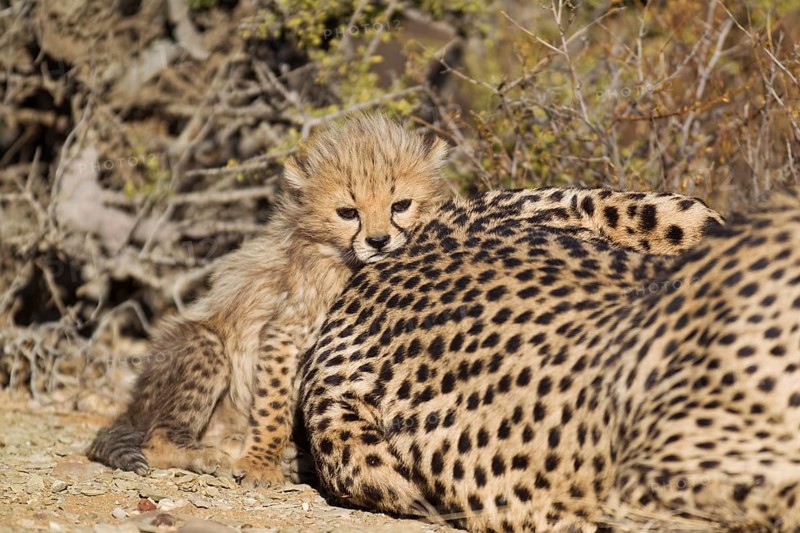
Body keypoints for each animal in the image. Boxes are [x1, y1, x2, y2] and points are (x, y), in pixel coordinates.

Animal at [87, 112, 450, 488]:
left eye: (400, 205)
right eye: (348, 213)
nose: (378, 241)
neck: (344, 261)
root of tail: (131, 408)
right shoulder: (285, 334)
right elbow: (274, 403)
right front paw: (261, 463)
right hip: (204, 346)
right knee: (156, 441)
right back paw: (209, 456)